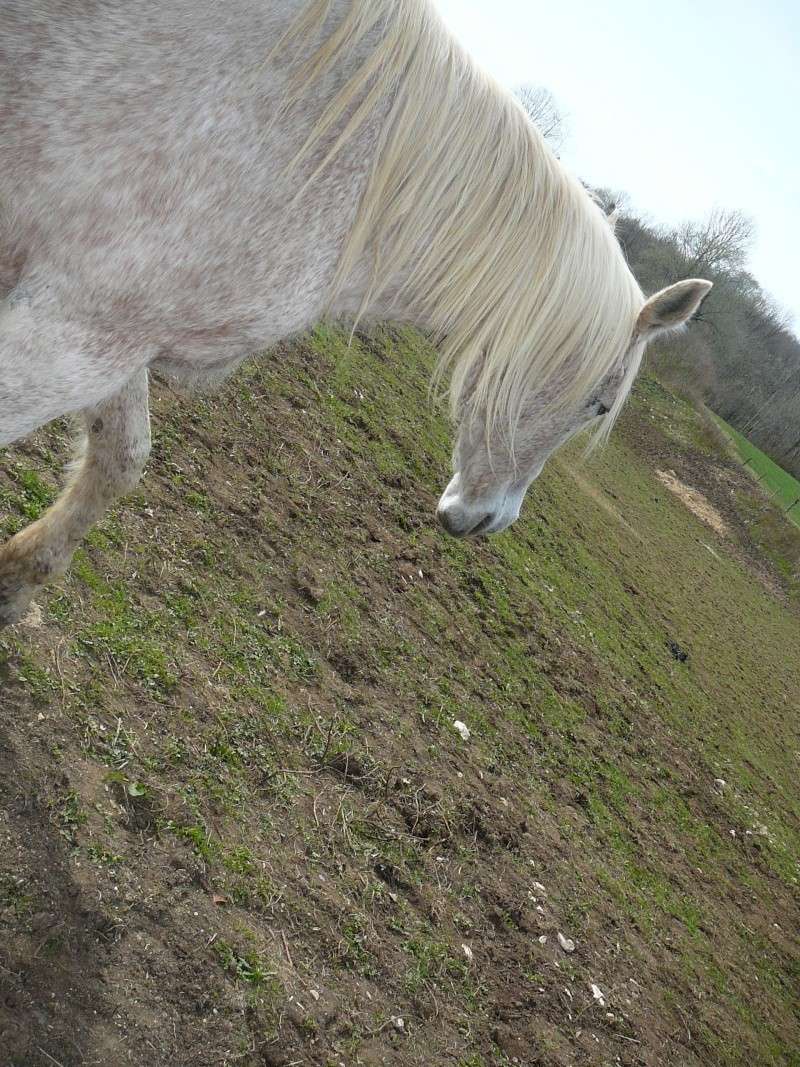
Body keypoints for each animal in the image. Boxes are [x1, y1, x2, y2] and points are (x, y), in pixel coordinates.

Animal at [0, 0, 712, 623]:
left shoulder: (122, 334)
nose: (487, 521)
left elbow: (123, 459)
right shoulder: (74, 336)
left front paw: (18, 581)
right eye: (598, 405)